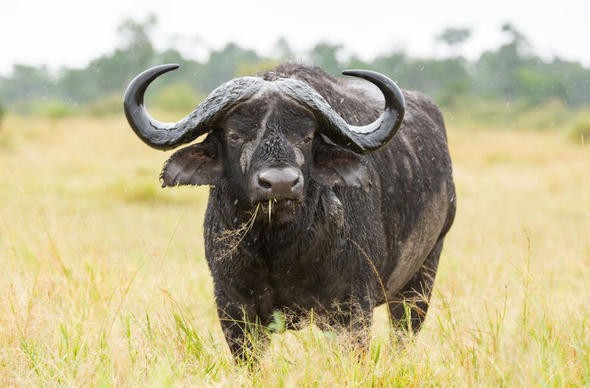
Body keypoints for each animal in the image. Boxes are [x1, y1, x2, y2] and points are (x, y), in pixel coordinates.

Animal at [123, 62, 458, 362]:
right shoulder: (233, 307)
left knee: (403, 335)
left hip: (422, 277)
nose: (280, 183)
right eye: (234, 135)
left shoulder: (353, 308)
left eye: (306, 136)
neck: (278, 246)